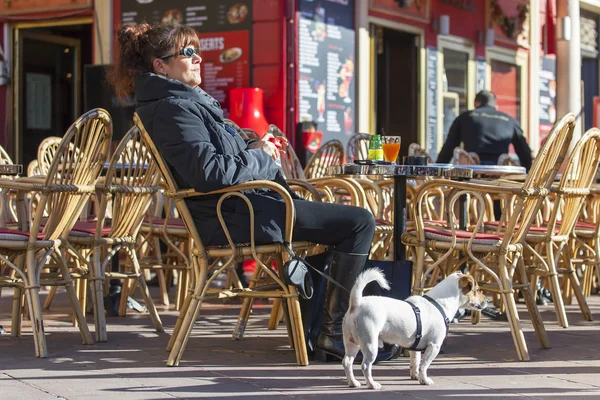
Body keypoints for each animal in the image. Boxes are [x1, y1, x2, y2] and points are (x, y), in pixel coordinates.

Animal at [342, 268, 488, 388]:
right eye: (477, 290)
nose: (488, 300)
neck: (440, 303)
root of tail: (356, 303)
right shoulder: (434, 346)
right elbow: (424, 365)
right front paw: (424, 380)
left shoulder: (414, 347)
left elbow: (415, 362)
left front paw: (415, 376)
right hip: (370, 344)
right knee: (366, 366)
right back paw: (372, 384)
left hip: (352, 343)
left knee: (347, 362)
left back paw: (353, 382)